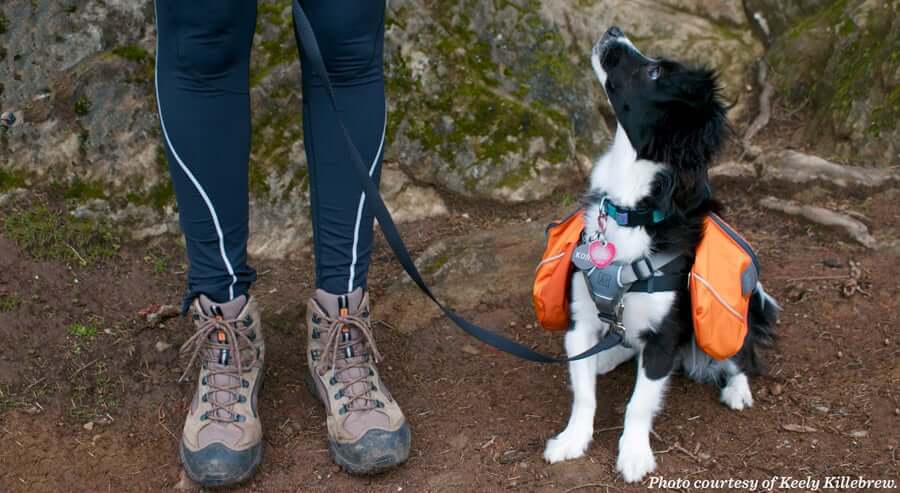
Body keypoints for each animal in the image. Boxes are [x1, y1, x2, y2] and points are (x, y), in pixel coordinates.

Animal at [540, 26, 780, 480]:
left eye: (654, 73)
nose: (614, 30)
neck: (629, 206)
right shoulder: (580, 323)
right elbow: (583, 395)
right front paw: (572, 439)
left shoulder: (663, 338)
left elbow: (638, 404)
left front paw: (634, 454)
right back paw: (607, 356)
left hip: (734, 319)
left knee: (741, 354)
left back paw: (737, 388)